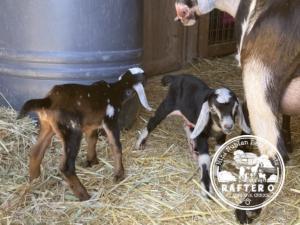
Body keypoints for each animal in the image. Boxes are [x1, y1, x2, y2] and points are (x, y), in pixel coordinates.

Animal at [17, 67, 151, 200]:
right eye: (142, 75)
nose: (147, 75)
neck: (114, 90)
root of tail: (49, 100)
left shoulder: (91, 125)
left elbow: (92, 139)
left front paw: (92, 161)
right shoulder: (110, 120)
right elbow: (116, 146)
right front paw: (119, 174)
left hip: (48, 126)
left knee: (36, 151)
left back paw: (34, 180)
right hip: (72, 130)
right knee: (66, 166)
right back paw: (84, 195)